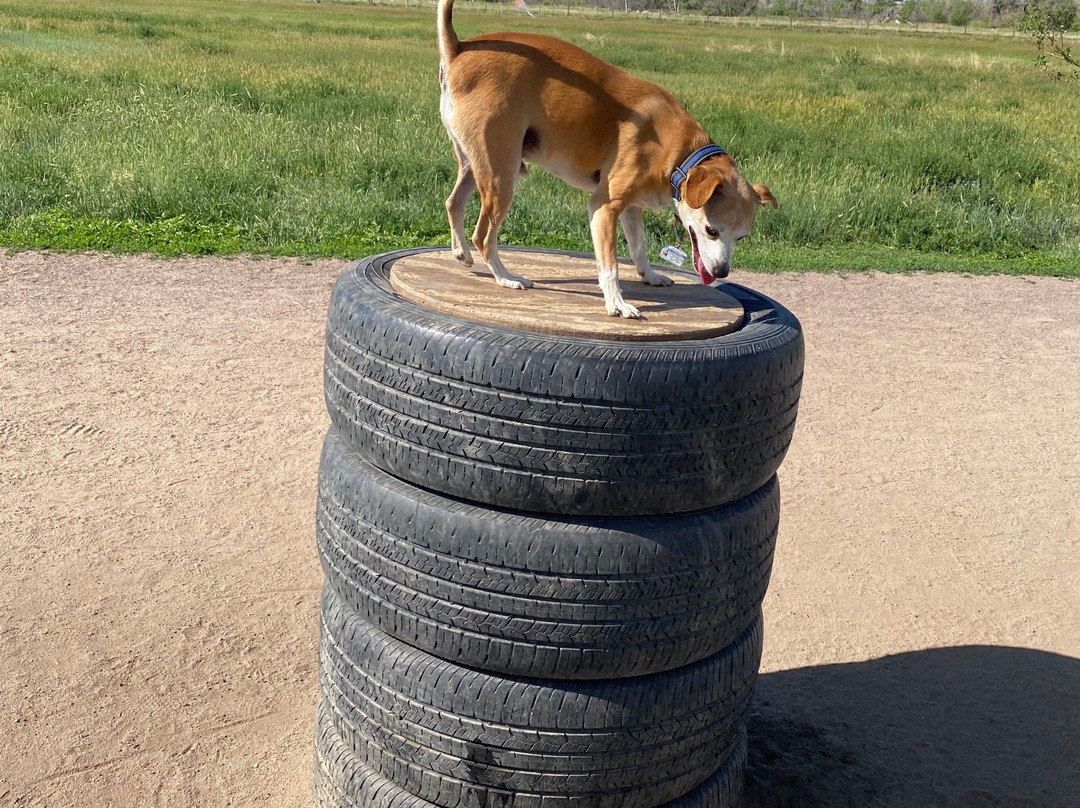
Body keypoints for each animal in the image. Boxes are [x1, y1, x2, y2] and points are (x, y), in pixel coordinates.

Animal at [438, 0, 777, 319]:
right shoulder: (604, 207)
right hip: (502, 174)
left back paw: (462, 252)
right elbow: (610, 265)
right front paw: (617, 303)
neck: (681, 152)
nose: (721, 272)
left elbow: (639, 247)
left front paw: (650, 275)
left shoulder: (631, 208)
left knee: (453, 202)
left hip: (474, 164)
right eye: (711, 230)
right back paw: (506, 277)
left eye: (742, 237)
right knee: (484, 235)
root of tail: (459, 49)